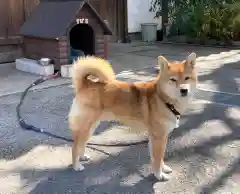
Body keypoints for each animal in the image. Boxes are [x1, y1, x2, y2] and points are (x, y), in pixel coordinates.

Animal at [67, 52, 197, 180]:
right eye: (173, 80)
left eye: (187, 78)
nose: (184, 90)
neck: (163, 99)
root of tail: (86, 83)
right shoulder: (158, 137)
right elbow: (158, 158)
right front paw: (159, 175)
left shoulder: (161, 136)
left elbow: (159, 158)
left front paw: (162, 169)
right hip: (85, 126)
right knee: (75, 147)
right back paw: (76, 165)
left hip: (91, 126)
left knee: (82, 143)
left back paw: (82, 157)